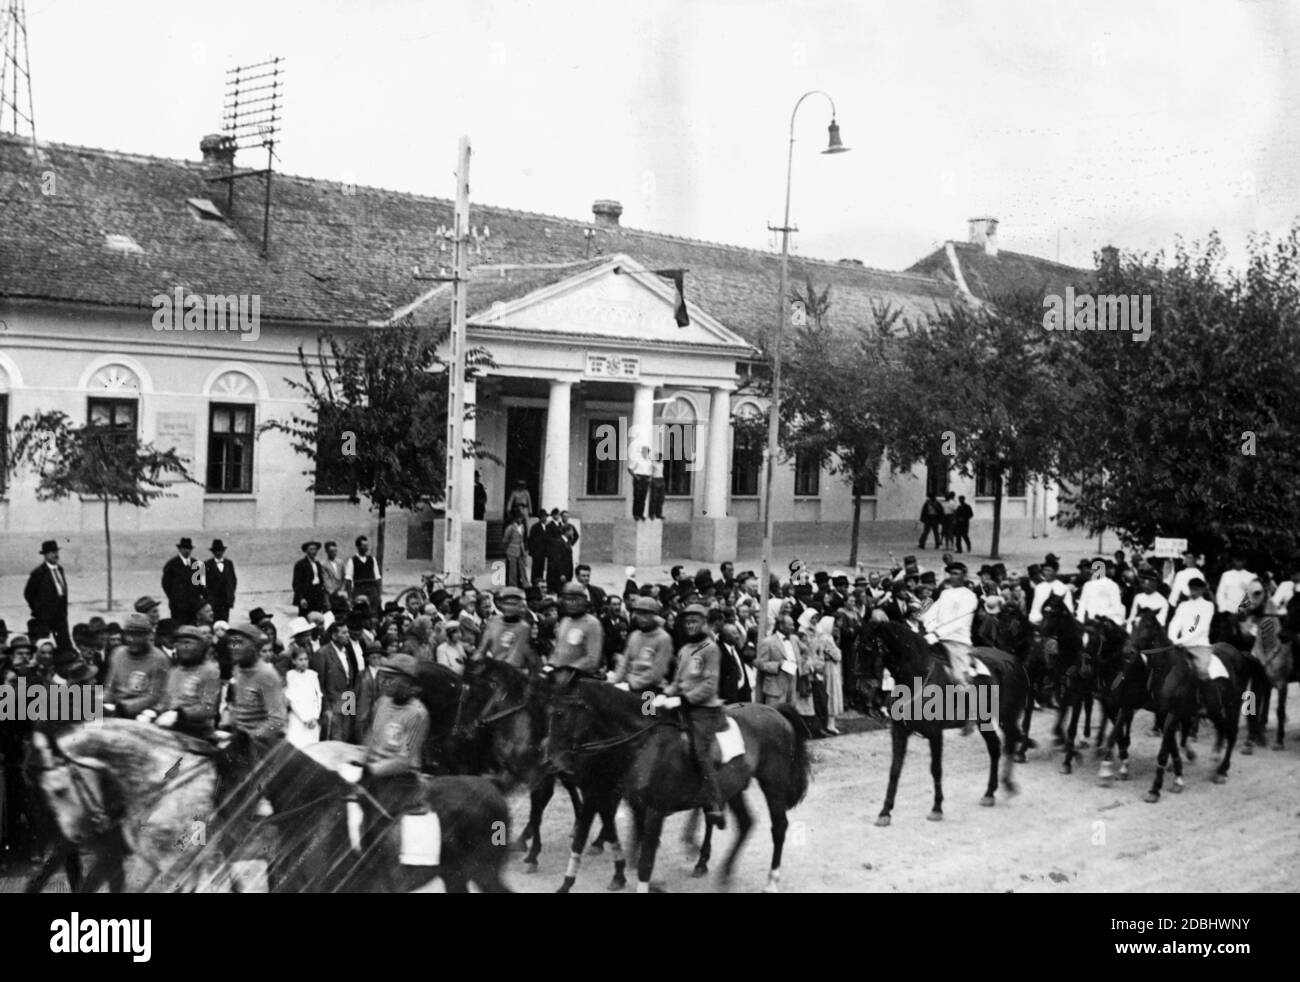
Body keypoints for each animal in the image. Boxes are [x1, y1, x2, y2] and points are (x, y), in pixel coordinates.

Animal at [540, 671, 806, 894]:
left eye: (560, 714)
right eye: (548, 712)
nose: (550, 760)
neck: (643, 743)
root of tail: (775, 712)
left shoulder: (652, 809)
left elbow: (645, 862)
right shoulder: (624, 800)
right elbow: (600, 841)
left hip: (773, 784)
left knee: (779, 827)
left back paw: (771, 881)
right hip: (733, 788)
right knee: (746, 823)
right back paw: (723, 874)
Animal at [857, 621, 1029, 822]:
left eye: (870, 648)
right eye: (856, 647)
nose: (864, 687)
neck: (916, 677)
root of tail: (1014, 661)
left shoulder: (935, 733)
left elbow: (936, 769)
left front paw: (937, 808)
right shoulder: (899, 731)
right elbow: (895, 770)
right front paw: (885, 811)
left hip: (1007, 717)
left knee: (1010, 741)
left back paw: (1008, 783)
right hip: (984, 721)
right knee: (995, 747)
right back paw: (989, 793)